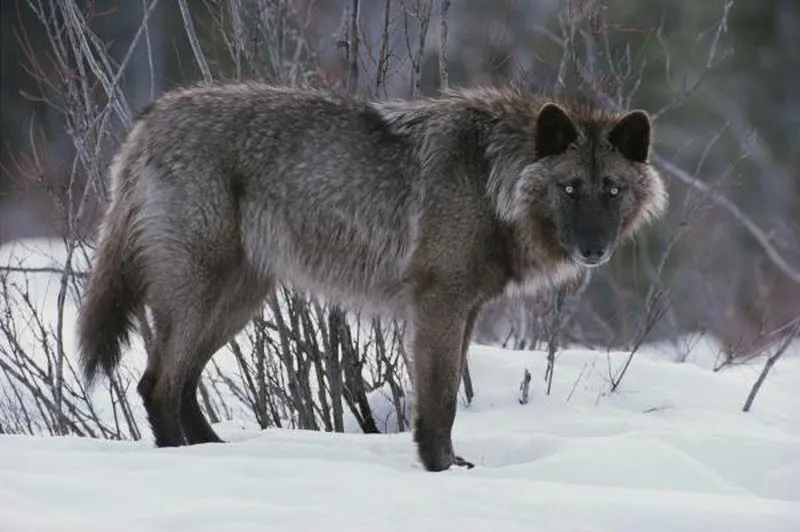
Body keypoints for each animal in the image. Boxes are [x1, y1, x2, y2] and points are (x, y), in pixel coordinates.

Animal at [77, 83, 667, 472]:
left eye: (612, 190)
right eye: (569, 188)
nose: (594, 249)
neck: (489, 180)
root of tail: (149, 118)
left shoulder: (467, 310)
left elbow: (445, 399)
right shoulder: (439, 305)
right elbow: (440, 401)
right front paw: (439, 469)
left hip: (238, 301)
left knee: (182, 384)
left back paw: (214, 455)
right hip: (202, 293)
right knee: (157, 385)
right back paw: (181, 463)